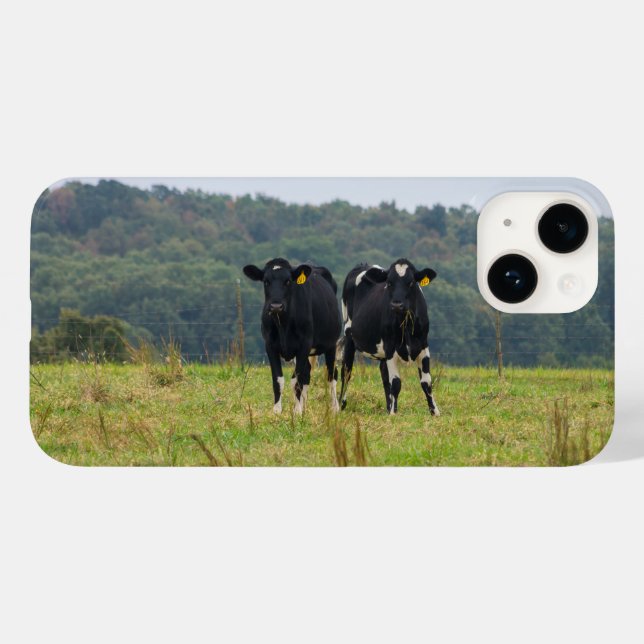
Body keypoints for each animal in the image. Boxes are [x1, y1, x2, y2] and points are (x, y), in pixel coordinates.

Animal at [243, 258, 342, 414]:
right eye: (266, 281)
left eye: (288, 281)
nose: (276, 306)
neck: (284, 326)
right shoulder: (270, 345)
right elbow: (278, 379)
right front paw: (277, 411)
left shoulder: (304, 345)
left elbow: (296, 380)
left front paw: (297, 411)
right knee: (308, 373)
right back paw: (305, 405)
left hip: (331, 344)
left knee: (331, 374)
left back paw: (335, 407)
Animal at [338, 259, 440, 416]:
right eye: (389, 283)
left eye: (411, 282)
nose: (397, 304)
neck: (406, 325)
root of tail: (363, 265)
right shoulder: (391, 347)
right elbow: (396, 383)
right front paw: (393, 413)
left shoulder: (423, 346)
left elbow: (426, 382)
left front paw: (434, 411)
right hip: (349, 335)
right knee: (346, 371)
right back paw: (340, 405)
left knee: (384, 375)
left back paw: (388, 406)